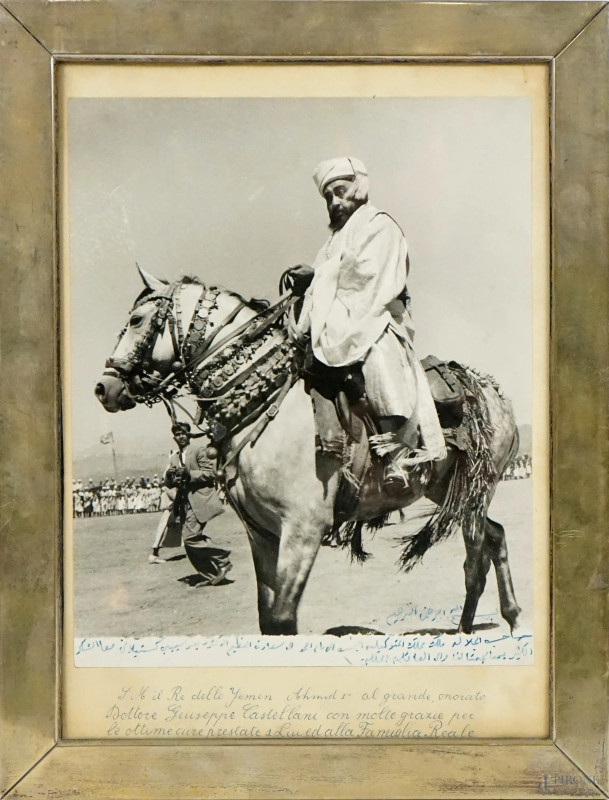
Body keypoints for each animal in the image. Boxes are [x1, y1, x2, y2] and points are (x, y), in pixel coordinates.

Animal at [96, 268, 524, 636]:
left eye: (136, 319)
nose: (104, 387)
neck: (267, 408)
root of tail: (493, 391)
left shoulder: (303, 530)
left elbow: (283, 617)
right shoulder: (262, 533)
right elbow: (268, 619)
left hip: (475, 490)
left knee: (475, 558)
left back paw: (479, 625)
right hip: (450, 490)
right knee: (495, 537)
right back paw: (501, 618)